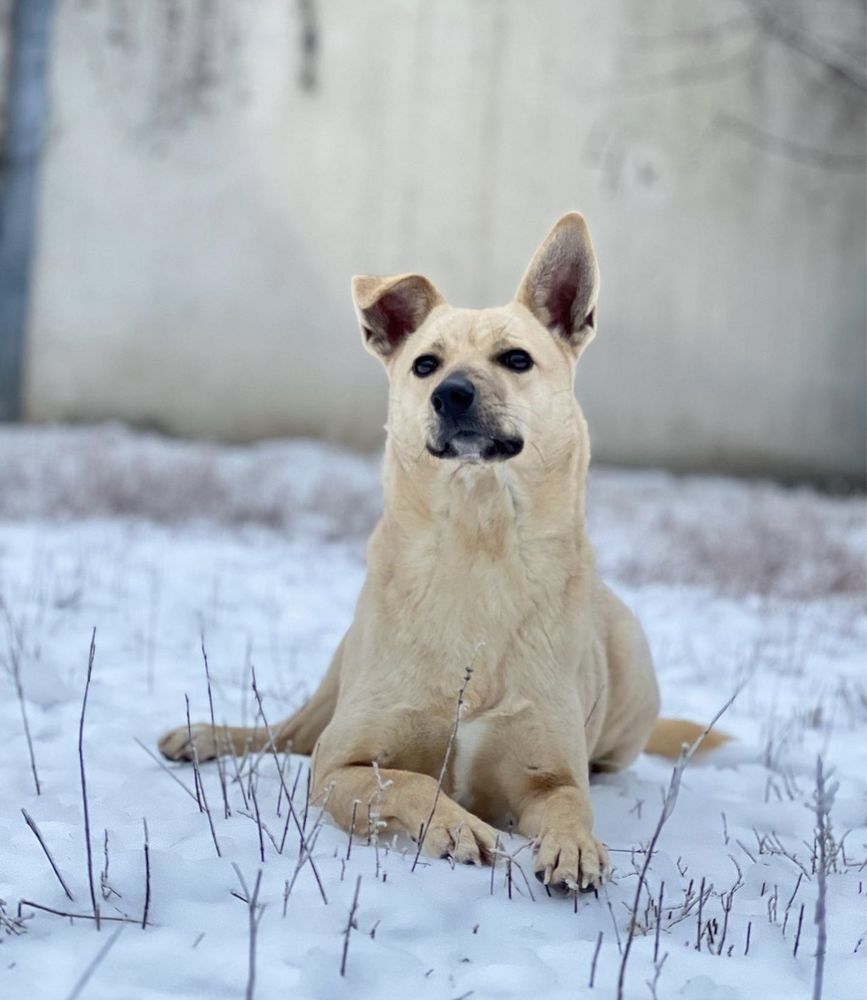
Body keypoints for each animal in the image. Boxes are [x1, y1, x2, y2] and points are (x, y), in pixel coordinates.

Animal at [158, 215, 724, 896]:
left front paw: (575, 848)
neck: (478, 543)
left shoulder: (549, 773)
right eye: (425, 364)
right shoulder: (338, 764)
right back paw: (202, 737)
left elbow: (569, 804)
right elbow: (407, 781)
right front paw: (455, 827)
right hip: (330, 693)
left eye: (516, 359)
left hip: (634, 669)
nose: (451, 394)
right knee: (279, 735)